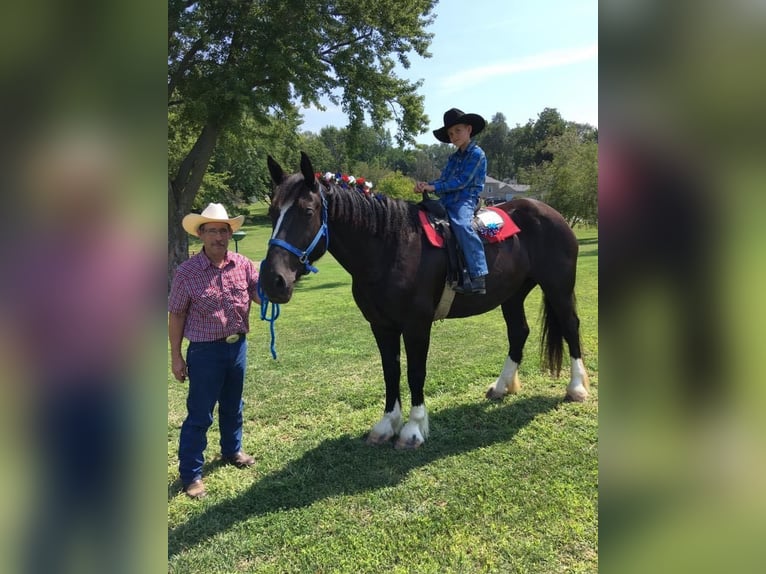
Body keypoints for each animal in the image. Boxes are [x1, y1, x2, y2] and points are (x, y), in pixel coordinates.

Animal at [260, 153, 592, 450]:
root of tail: (550, 212)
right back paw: (500, 387)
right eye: (272, 213)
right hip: (512, 295)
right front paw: (386, 425)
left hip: (559, 288)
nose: (273, 281)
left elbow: (415, 373)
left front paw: (412, 430)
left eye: (307, 210)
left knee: (570, 326)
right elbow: (390, 372)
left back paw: (576, 388)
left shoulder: (416, 326)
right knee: (519, 332)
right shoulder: (381, 326)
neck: (390, 246)